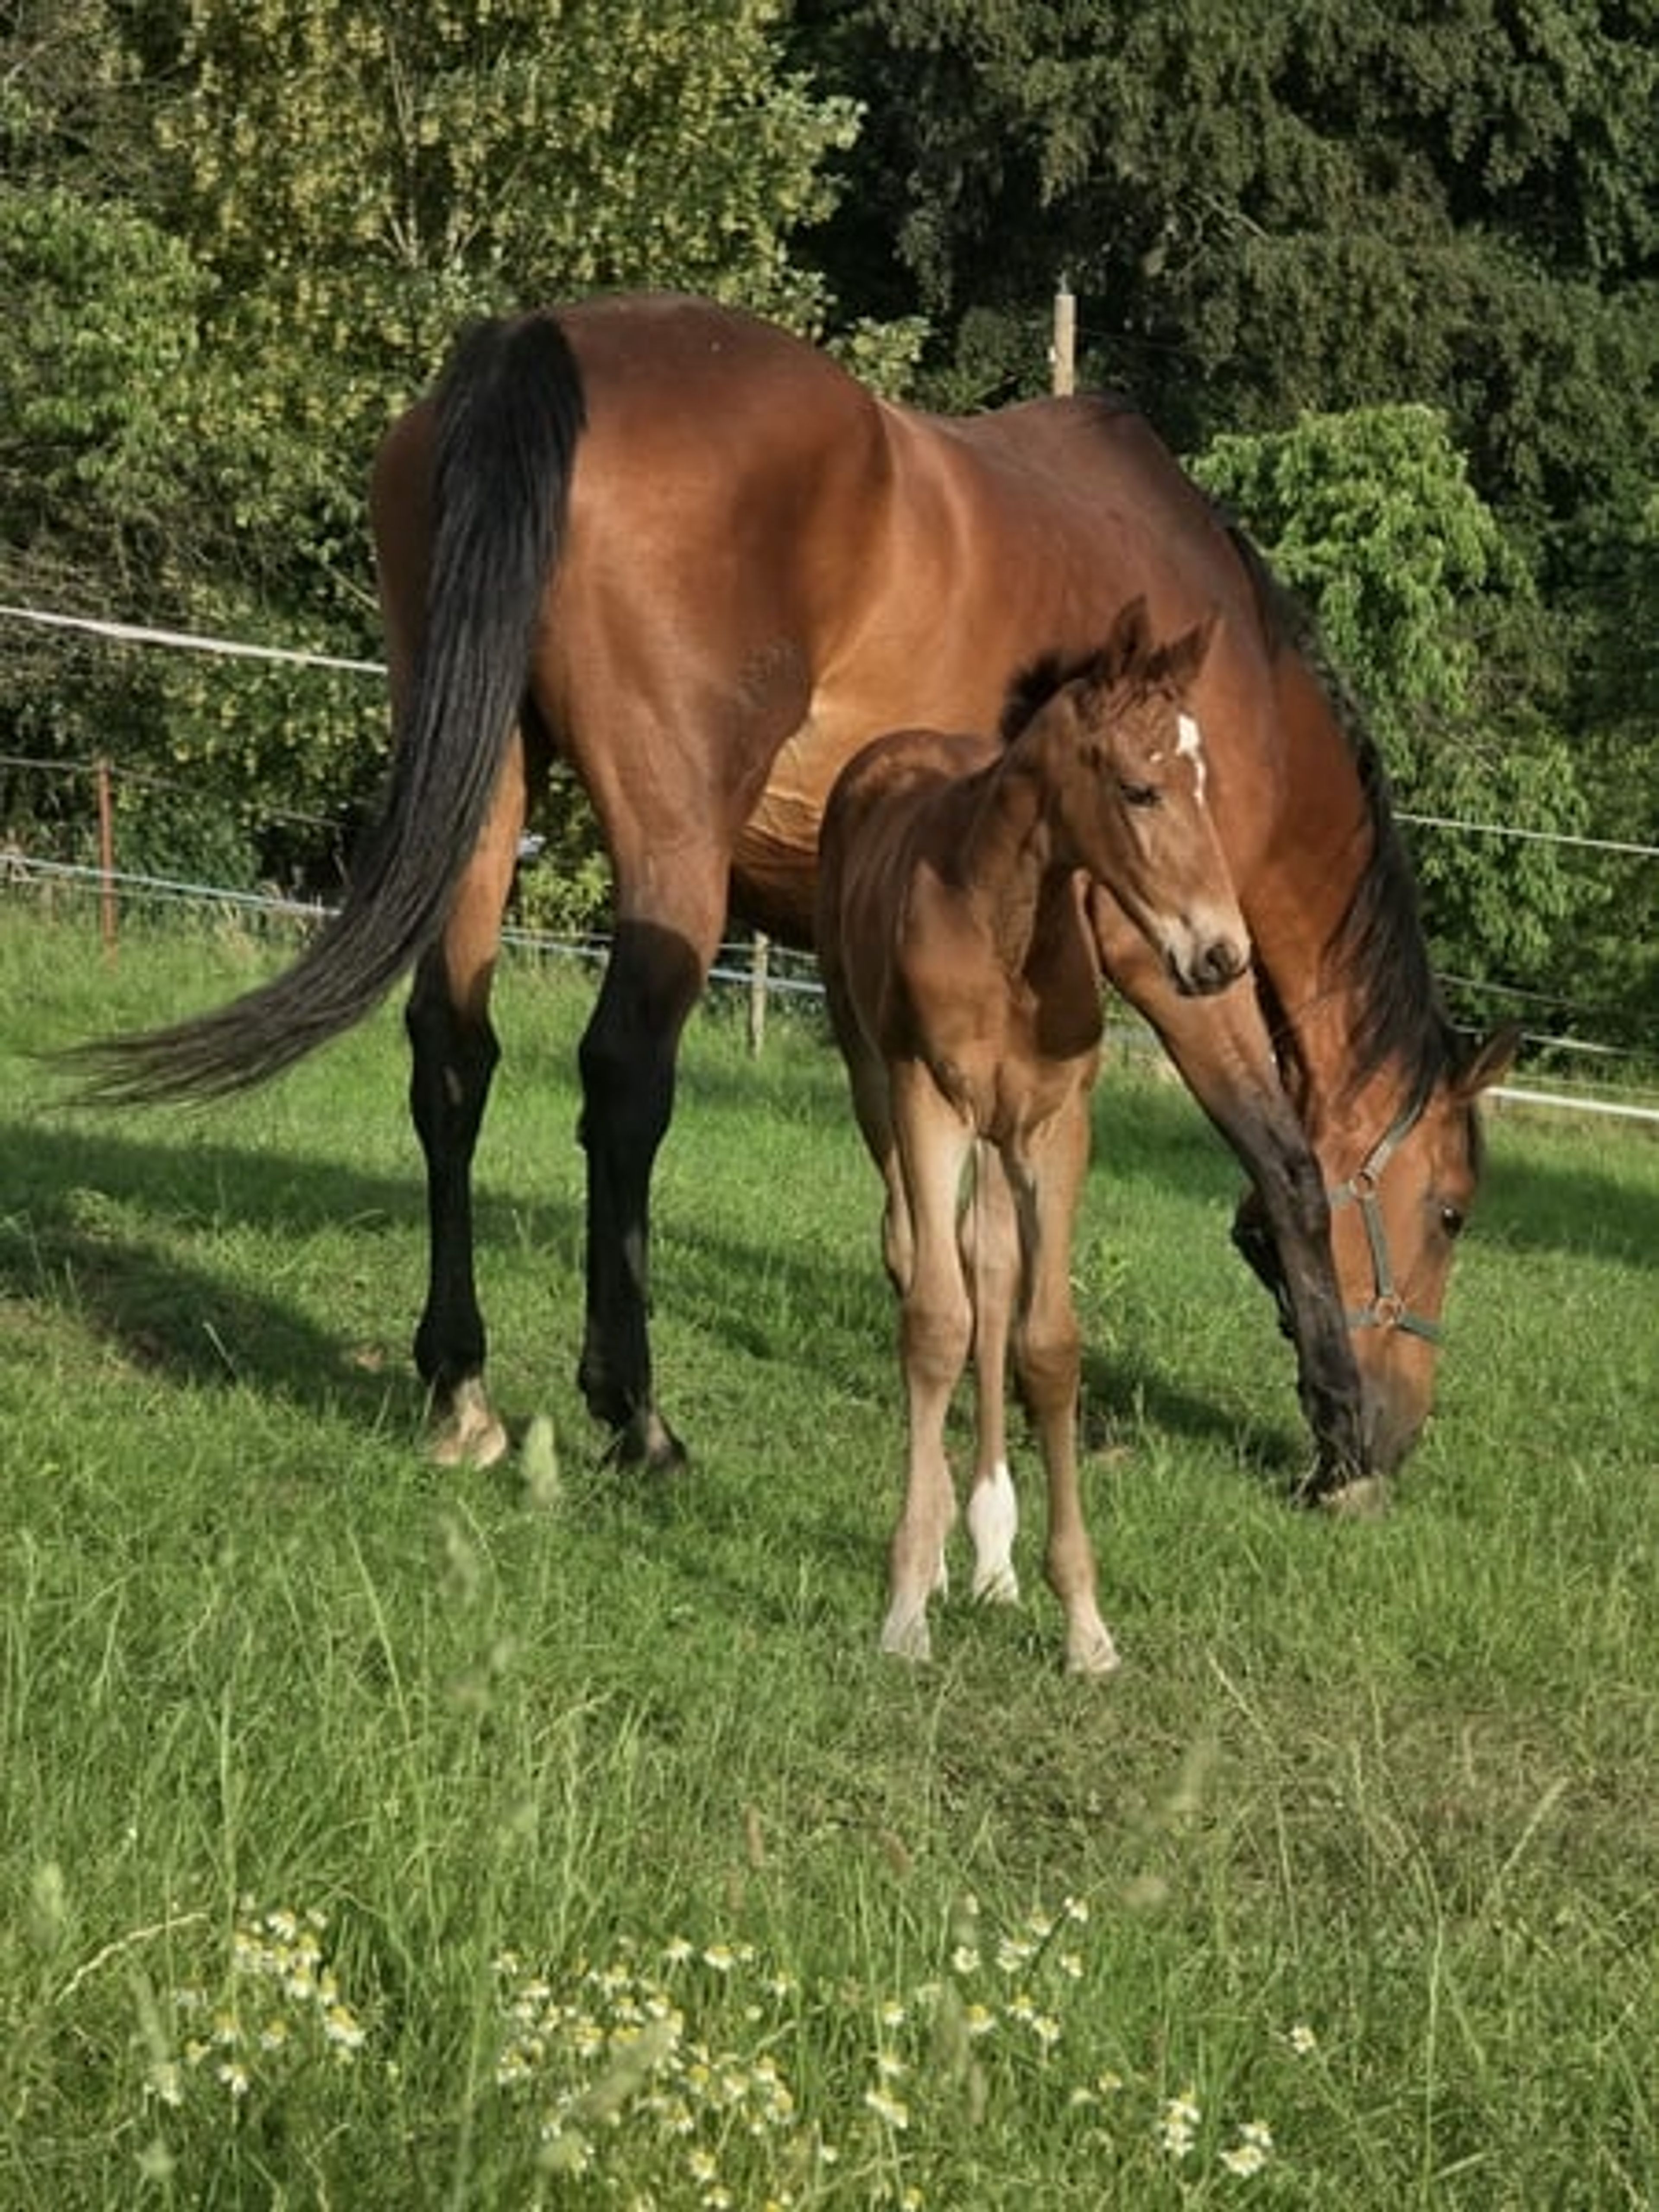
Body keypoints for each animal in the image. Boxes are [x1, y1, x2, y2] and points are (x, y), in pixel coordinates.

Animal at [65, 292, 1517, 1498]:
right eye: (1448, 1209)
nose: (1406, 1427)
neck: (1237, 691)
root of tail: (542, 340)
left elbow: (947, 1206)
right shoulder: (1166, 952)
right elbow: (1278, 1157)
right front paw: (1335, 1443)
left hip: (486, 789)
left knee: (453, 1058)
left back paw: (460, 1386)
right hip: (670, 841)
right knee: (622, 1079)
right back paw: (637, 1418)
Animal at [816, 602, 1247, 1668]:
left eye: (1206, 783)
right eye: (1138, 788)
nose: (1223, 956)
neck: (1005, 927)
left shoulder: (1055, 1124)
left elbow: (1046, 1341)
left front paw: (1084, 1623)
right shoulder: (931, 1097)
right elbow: (935, 1323)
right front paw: (905, 1605)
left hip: (999, 1136)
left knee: (989, 1267)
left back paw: (990, 1554)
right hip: (876, 1082)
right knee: (917, 1257)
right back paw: (940, 1553)